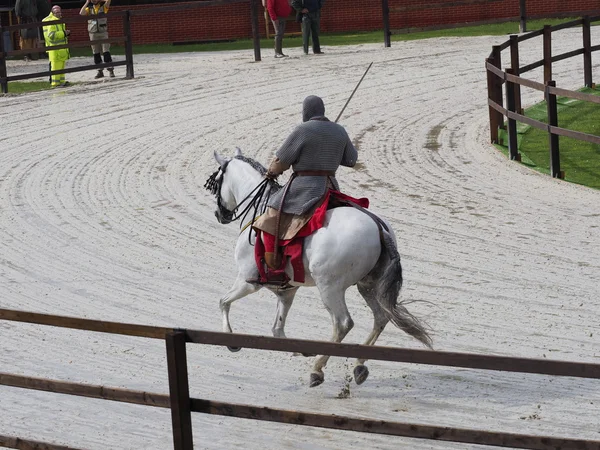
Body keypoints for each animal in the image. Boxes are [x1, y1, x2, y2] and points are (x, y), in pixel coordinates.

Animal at [206, 149, 432, 386]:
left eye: (217, 180)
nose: (219, 215)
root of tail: (379, 229)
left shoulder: (247, 281)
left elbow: (223, 302)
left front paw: (230, 340)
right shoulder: (286, 291)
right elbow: (277, 329)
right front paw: (302, 350)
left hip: (329, 287)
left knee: (342, 323)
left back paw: (318, 369)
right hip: (368, 286)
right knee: (380, 317)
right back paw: (359, 365)